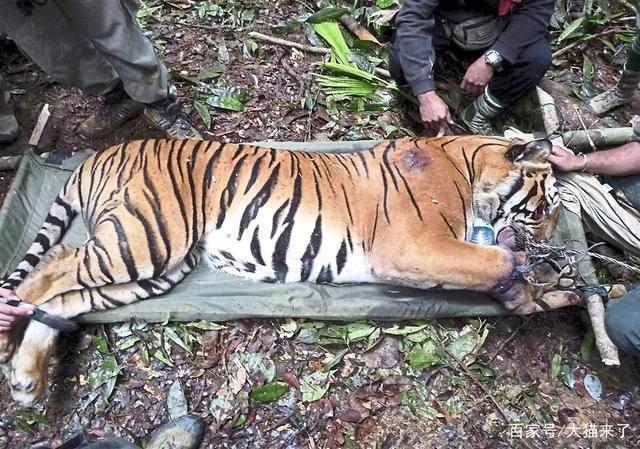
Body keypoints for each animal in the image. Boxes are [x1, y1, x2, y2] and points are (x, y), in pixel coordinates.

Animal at [0, 135, 579, 405]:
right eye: (546, 207)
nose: (553, 237)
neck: (468, 164)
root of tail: (93, 157)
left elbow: (500, 270)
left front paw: (545, 290)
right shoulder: (414, 245)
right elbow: (495, 259)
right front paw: (530, 274)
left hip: (155, 268)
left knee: (66, 299)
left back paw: (27, 378)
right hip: (144, 239)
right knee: (55, 263)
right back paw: (9, 337)